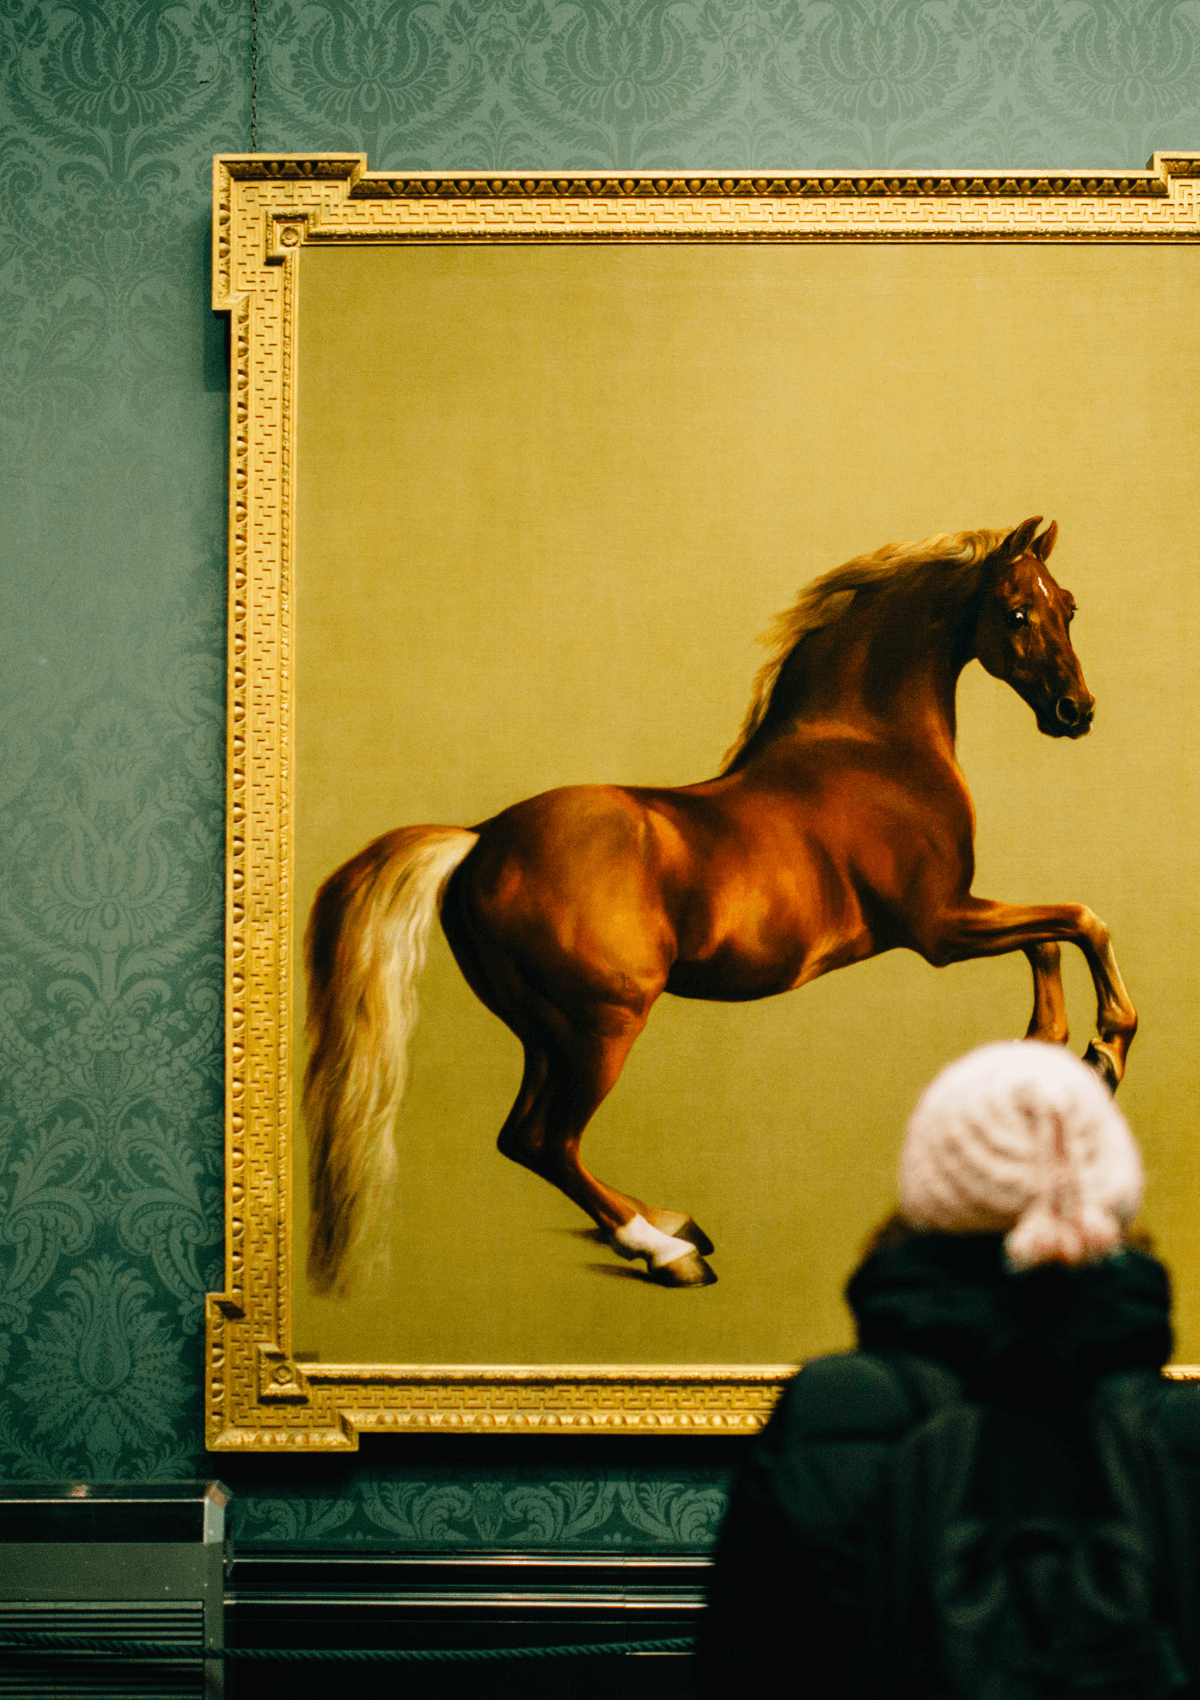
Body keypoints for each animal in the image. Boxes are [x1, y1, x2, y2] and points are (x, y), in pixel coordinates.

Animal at [305, 513, 1128, 1285]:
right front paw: (1104, 1052)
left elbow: (1050, 938)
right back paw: (665, 1249)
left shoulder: (958, 917)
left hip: (544, 1031)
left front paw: (1049, 1054)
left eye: (1070, 607)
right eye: (1016, 612)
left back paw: (667, 1222)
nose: (1075, 711)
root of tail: (480, 839)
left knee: (525, 1138)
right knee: (546, 1140)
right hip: (602, 1025)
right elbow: (1080, 921)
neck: (871, 748)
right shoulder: (940, 927)